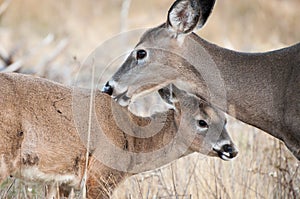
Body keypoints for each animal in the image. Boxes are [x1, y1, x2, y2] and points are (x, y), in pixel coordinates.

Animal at [0, 72, 237, 198]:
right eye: (202, 122)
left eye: (225, 120)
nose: (231, 149)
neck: (135, 139)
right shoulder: (101, 175)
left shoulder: (61, 182)